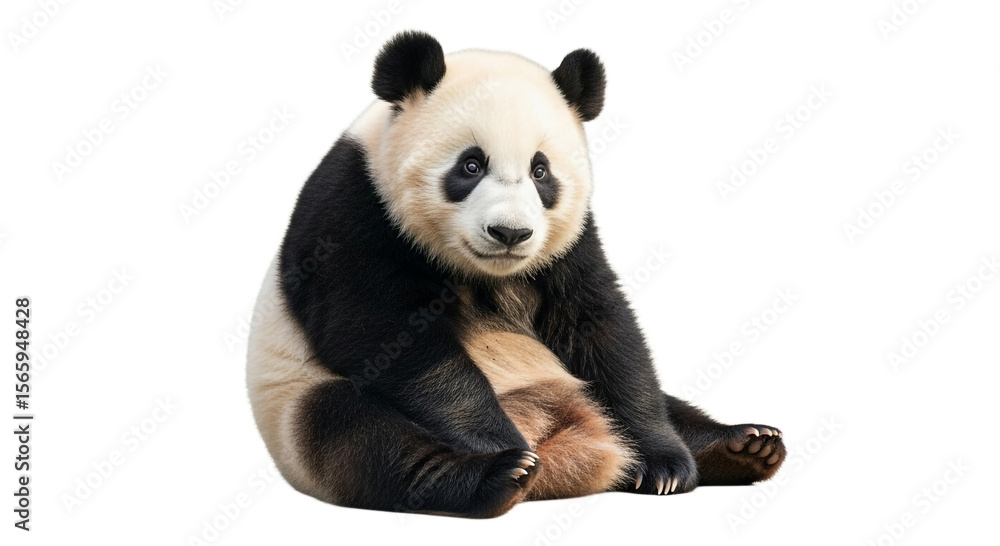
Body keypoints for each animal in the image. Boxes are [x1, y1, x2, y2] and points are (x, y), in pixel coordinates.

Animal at [247, 31, 786, 519]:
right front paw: (496, 441)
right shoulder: (351, 211)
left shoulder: (571, 243)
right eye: (470, 165)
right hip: (296, 405)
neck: (482, 271)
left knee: (667, 401)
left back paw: (742, 446)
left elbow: (603, 330)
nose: (510, 232)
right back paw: (500, 476)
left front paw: (664, 464)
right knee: (358, 436)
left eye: (540, 171)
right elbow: (382, 331)